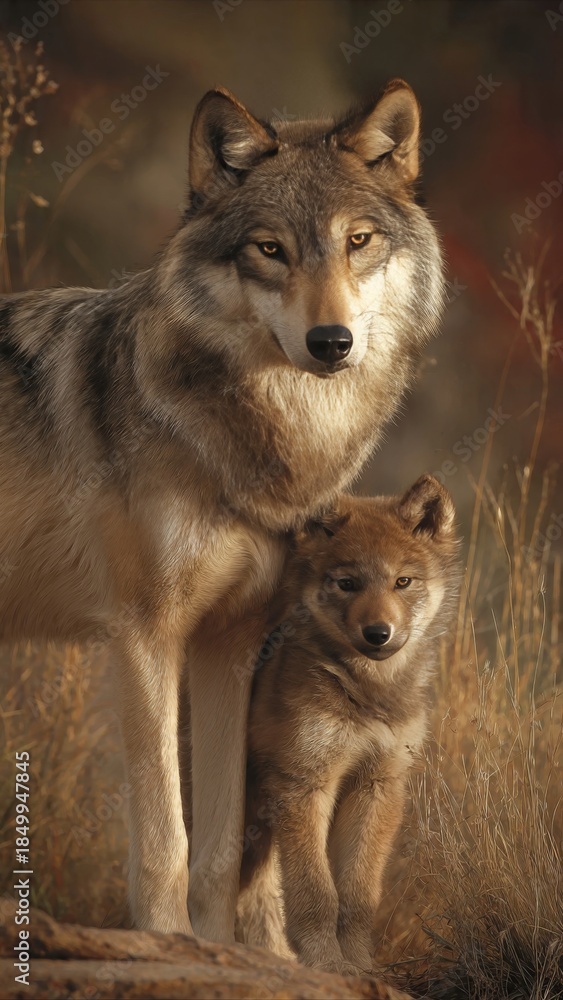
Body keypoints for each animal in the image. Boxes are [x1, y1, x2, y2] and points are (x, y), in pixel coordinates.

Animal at [0, 80, 443, 942]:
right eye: (269, 250)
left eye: (358, 240)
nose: (330, 340)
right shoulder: (146, 635)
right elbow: (167, 839)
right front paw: (168, 941)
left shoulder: (230, 644)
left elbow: (225, 846)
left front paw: (237, 950)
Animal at [237, 476, 459, 974]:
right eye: (347, 583)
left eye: (402, 582)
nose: (378, 633)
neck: (369, 694)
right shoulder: (304, 784)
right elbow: (316, 894)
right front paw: (327, 965)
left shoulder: (378, 785)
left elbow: (357, 896)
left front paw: (358, 965)